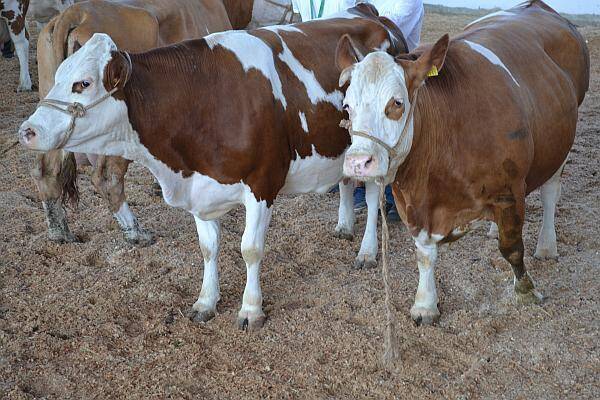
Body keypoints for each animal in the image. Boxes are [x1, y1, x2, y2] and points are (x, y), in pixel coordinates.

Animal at [335, 0, 589, 324]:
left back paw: (546, 246)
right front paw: (425, 304)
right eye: (347, 106)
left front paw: (526, 290)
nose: (358, 163)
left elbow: (511, 247)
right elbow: (424, 253)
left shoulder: (508, 191)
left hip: (561, 144)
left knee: (549, 193)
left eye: (397, 103)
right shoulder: (411, 201)